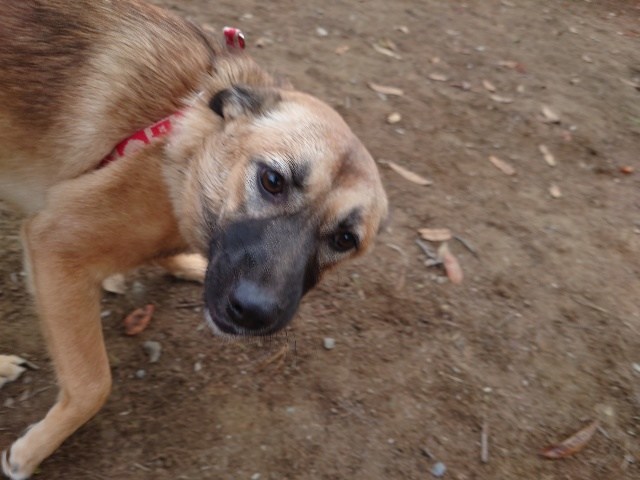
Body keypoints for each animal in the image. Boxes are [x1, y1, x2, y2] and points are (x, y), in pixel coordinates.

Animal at [0, 0, 390, 480]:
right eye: (273, 180)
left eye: (345, 238)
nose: (254, 312)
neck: (186, 141)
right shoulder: (57, 247)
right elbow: (93, 384)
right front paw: (31, 451)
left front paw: (186, 264)